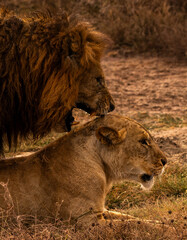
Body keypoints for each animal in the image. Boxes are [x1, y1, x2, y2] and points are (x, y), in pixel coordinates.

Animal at [0, 114, 168, 227]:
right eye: (143, 142)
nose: (165, 161)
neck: (104, 171)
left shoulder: (100, 210)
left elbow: (135, 219)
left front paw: (163, 222)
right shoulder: (87, 222)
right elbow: (136, 224)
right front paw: (169, 229)